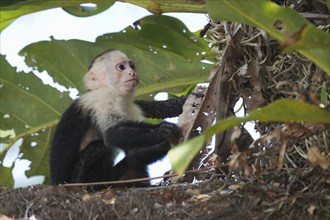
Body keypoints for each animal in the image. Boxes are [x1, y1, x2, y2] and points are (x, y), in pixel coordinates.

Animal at [50, 50, 182, 189]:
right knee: (98, 147)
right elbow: (111, 134)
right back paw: (94, 187)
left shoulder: (131, 107)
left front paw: (169, 144)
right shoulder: (104, 97)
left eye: (132, 66)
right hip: (74, 183)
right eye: (121, 67)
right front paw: (162, 130)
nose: (132, 73)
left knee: (132, 161)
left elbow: (133, 152)